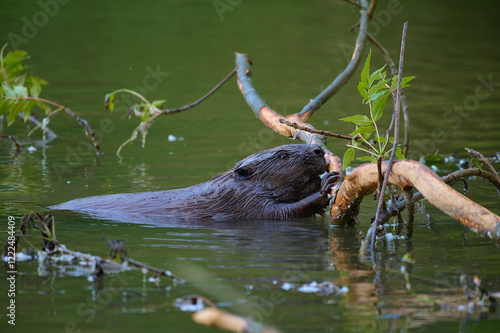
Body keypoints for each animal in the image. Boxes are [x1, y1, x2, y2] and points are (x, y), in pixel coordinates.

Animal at [49, 144, 340, 219]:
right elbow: (281, 213)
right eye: (283, 155)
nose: (318, 150)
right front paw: (327, 185)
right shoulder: (246, 203)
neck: (230, 187)